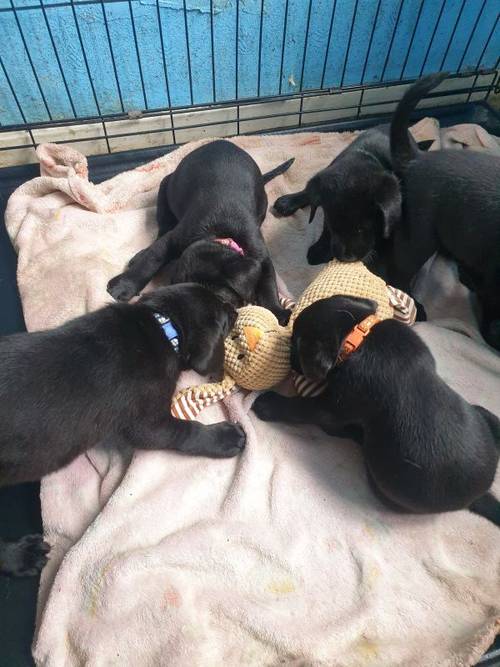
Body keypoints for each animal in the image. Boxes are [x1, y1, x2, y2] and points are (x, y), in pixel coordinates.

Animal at [0, 282, 246, 576]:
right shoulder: (148, 423)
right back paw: (22, 556)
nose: (236, 308)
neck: (163, 325)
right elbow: (186, 431)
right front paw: (224, 437)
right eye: (224, 315)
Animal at [106, 142, 292, 326]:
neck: (219, 233)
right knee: (162, 230)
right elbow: (151, 260)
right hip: (164, 191)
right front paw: (123, 286)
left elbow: (269, 284)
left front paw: (276, 312)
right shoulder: (173, 239)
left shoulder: (261, 255)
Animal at [254, 294, 500, 524]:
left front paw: (268, 404)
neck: (357, 336)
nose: (290, 361)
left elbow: (300, 407)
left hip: (381, 480)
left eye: (297, 341)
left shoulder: (333, 405)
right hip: (481, 413)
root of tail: (479, 495)